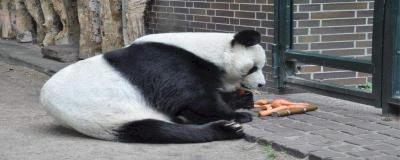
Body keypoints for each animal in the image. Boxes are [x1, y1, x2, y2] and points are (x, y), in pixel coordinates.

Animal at [39, 30, 266, 144]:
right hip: (108, 115)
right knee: (161, 131)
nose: (261, 84)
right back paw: (226, 129)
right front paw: (237, 116)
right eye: (253, 68)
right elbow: (191, 98)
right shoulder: (165, 64)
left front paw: (244, 99)